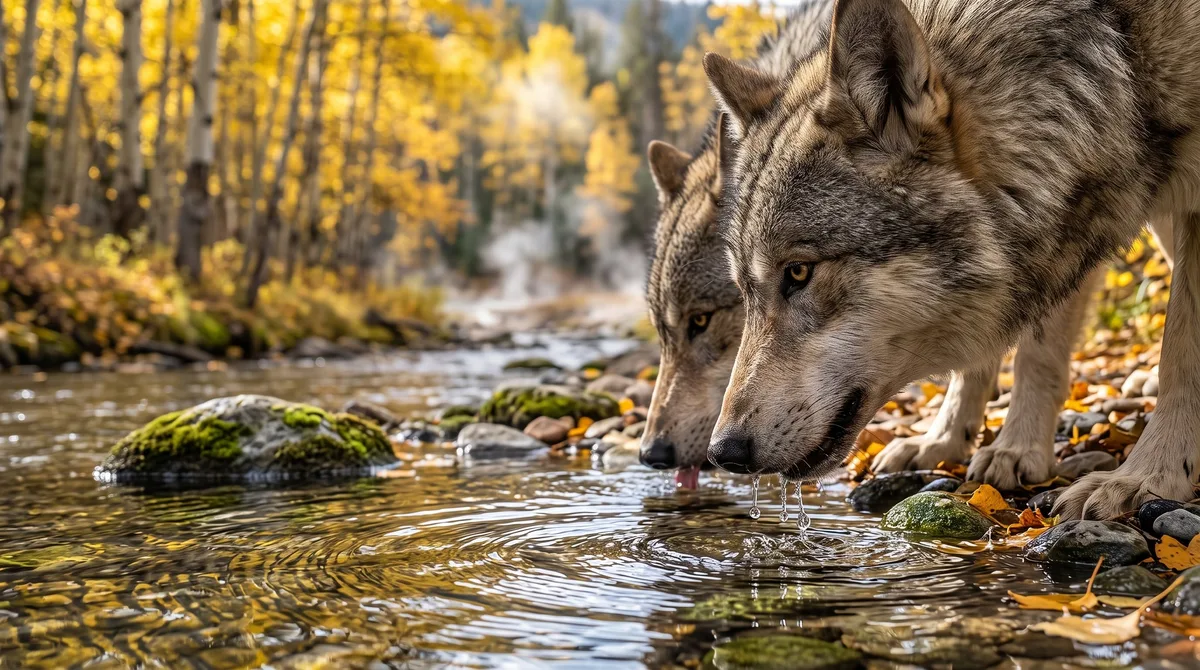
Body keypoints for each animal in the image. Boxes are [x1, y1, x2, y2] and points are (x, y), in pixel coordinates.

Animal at [703, 0, 1200, 519]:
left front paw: (1147, 476)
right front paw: (960, 443)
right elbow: (1023, 354)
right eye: (745, 292)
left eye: (798, 272)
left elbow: (1180, 350)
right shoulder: (1065, 223)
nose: (723, 451)